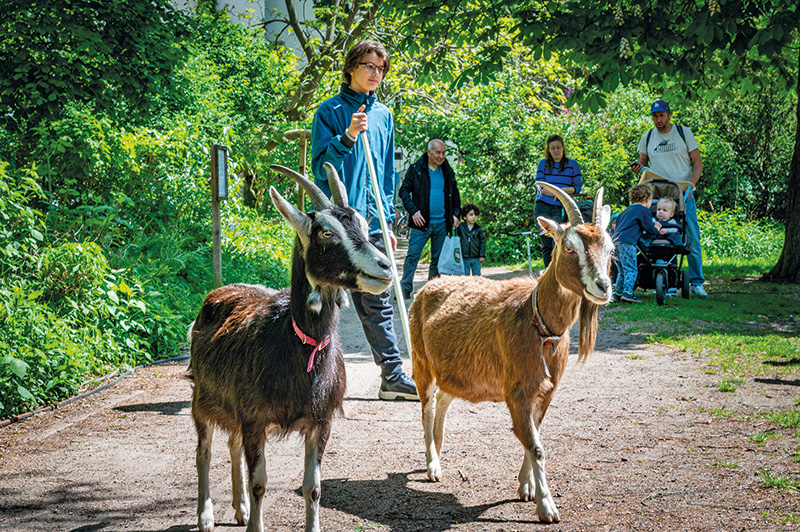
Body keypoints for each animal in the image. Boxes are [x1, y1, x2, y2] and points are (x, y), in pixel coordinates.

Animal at [187, 163, 392, 532]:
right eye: (326, 233)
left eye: (364, 225)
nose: (385, 266)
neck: (295, 342)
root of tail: (218, 291)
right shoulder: (255, 419)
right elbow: (260, 483)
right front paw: (254, 522)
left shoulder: (320, 422)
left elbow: (313, 487)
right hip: (203, 399)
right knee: (204, 451)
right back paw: (206, 516)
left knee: (232, 444)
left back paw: (239, 509)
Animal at [409, 182, 613, 524]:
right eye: (570, 247)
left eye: (609, 249)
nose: (604, 286)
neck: (536, 321)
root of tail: (426, 288)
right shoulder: (517, 392)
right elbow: (536, 445)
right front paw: (547, 507)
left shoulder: (546, 391)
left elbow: (535, 436)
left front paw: (525, 487)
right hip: (421, 360)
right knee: (426, 407)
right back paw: (432, 465)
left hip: (456, 372)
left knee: (443, 398)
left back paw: (438, 448)